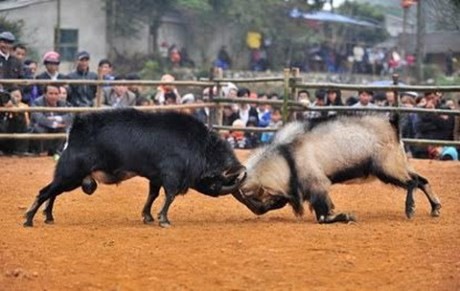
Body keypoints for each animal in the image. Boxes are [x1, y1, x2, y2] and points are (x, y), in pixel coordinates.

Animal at [24, 109, 248, 228]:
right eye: (216, 181)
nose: (219, 192)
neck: (198, 146)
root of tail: (74, 131)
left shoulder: (156, 177)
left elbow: (153, 195)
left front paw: (148, 216)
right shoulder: (171, 175)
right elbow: (170, 195)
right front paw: (163, 219)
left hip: (72, 178)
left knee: (53, 192)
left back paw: (48, 216)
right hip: (71, 174)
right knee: (45, 191)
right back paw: (28, 218)